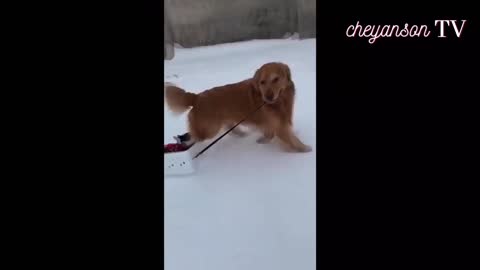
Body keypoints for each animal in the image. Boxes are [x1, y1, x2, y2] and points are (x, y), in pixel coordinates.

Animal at [166, 62, 312, 153]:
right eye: (262, 82)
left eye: (276, 79)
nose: (268, 97)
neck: (279, 101)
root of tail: (196, 97)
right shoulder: (279, 125)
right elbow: (292, 139)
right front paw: (304, 149)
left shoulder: (273, 122)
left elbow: (269, 134)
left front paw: (262, 141)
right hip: (210, 128)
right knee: (196, 135)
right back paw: (183, 142)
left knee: (229, 129)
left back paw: (242, 134)